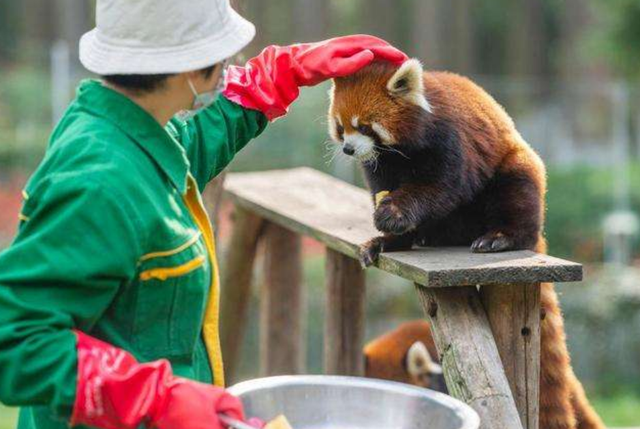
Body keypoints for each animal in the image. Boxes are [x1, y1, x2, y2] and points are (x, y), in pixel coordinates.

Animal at [330, 61, 604, 429]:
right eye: (340, 127)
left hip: (517, 173)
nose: (348, 149)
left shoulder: (451, 139)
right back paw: (418, 238)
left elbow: (444, 185)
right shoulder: (383, 163)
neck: (402, 148)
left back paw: (502, 237)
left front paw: (396, 214)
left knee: (515, 190)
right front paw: (389, 237)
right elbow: (382, 183)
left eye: (364, 126)